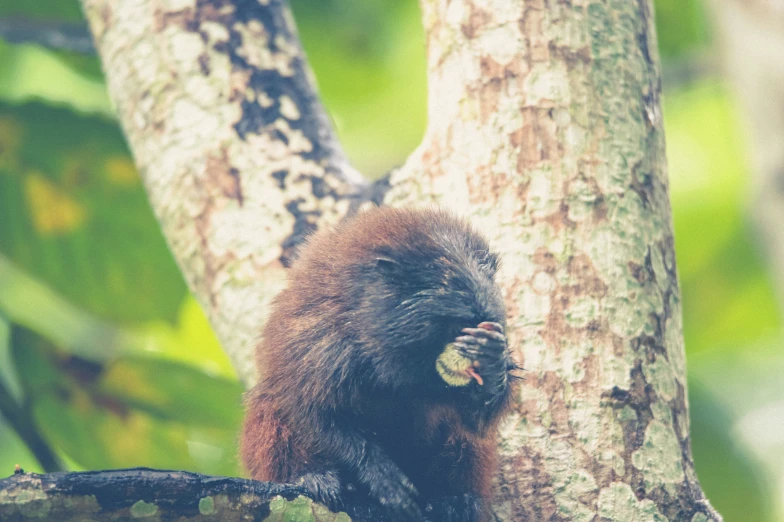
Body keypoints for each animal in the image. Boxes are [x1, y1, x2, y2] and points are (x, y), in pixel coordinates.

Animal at [242, 207, 516, 520]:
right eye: (457, 325)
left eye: (478, 325)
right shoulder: (322, 340)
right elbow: (308, 409)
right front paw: (377, 474)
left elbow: (475, 424)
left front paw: (491, 361)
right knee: (271, 404)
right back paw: (311, 477)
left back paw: (455, 500)